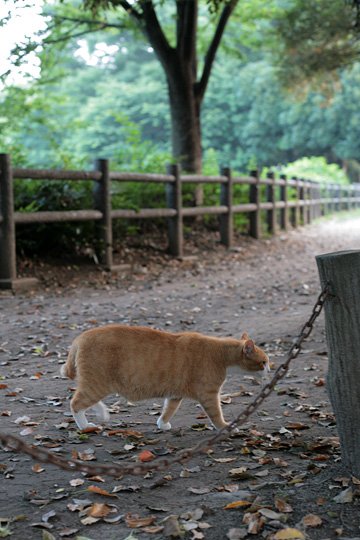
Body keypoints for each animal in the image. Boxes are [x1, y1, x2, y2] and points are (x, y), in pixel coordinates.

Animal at [61, 324, 270, 430]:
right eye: (264, 362)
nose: (269, 371)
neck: (220, 354)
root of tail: (80, 337)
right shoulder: (209, 394)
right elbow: (216, 414)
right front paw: (225, 426)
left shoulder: (175, 394)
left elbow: (169, 410)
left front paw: (162, 424)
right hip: (98, 383)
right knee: (75, 403)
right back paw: (85, 426)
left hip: (97, 384)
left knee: (85, 399)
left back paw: (102, 413)